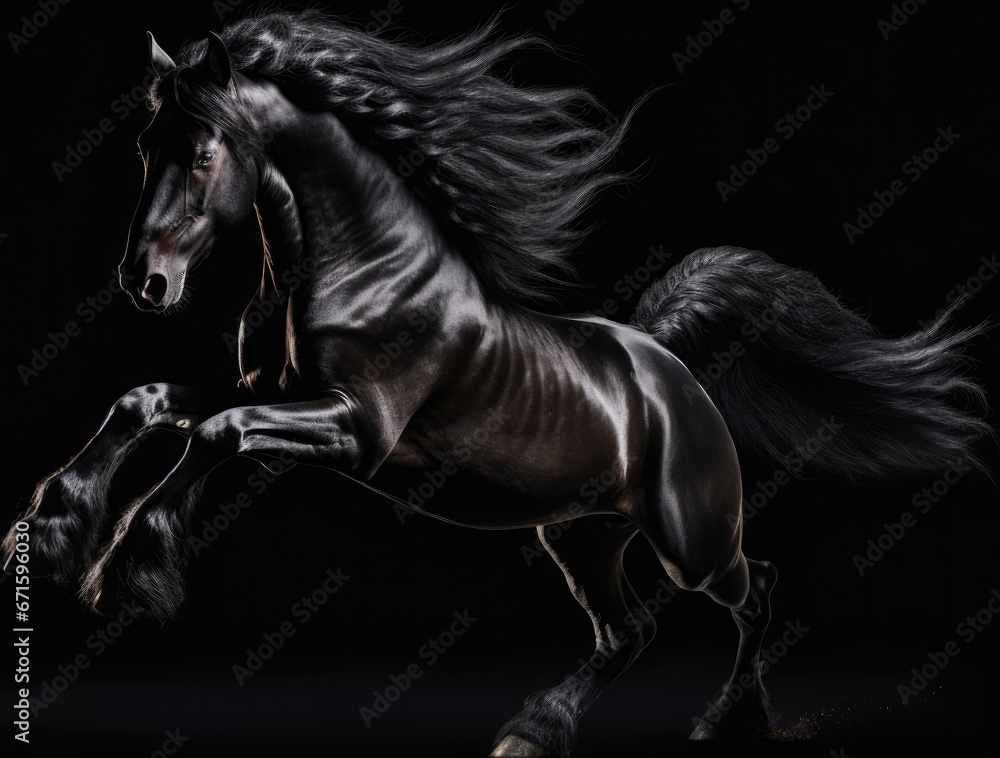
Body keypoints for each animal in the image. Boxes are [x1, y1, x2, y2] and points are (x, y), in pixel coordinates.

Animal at [2, 10, 992, 756]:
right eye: (144, 144)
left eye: (204, 151)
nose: (145, 283)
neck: (361, 267)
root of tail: (669, 367)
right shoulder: (270, 387)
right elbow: (151, 401)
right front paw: (50, 533)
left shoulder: (357, 432)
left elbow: (219, 430)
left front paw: (127, 568)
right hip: (582, 538)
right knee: (629, 632)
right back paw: (534, 732)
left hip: (692, 539)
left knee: (760, 591)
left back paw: (724, 721)